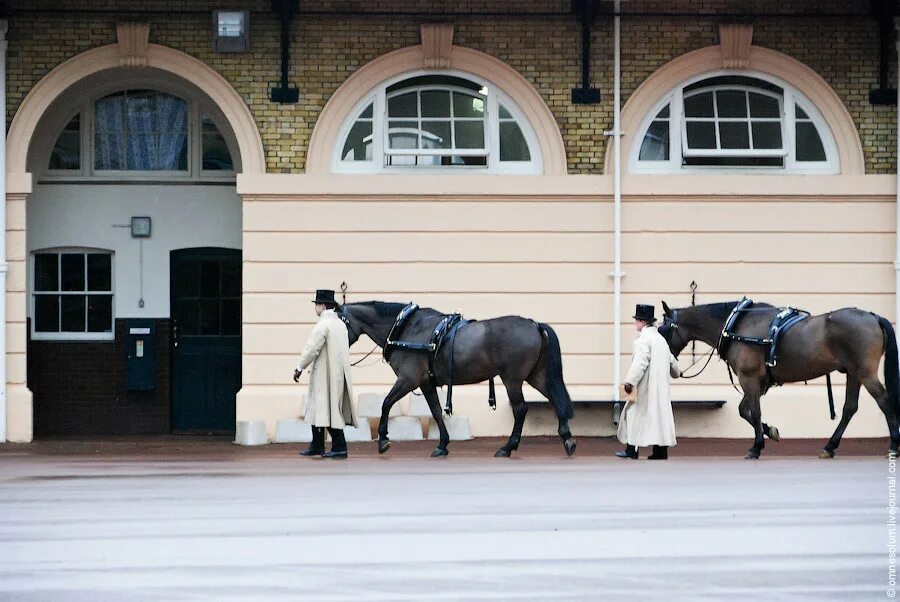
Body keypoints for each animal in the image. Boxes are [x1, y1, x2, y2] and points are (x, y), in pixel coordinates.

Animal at [338, 300, 576, 454]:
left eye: (338, 321)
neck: (405, 329)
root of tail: (534, 324)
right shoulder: (425, 383)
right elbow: (435, 411)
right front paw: (443, 444)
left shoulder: (408, 379)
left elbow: (386, 403)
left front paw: (383, 439)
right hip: (536, 376)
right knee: (556, 400)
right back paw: (567, 440)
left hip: (513, 379)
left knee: (520, 409)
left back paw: (508, 447)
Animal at [656, 300, 896, 460]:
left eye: (663, 328)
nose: (668, 363)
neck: (737, 326)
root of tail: (873, 316)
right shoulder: (759, 382)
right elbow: (745, 410)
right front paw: (769, 431)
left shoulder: (749, 378)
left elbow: (754, 411)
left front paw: (756, 446)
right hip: (854, 373)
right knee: (849, 408)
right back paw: (830, 446)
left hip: (865, 372)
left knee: (885, 401)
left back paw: (894, 444)